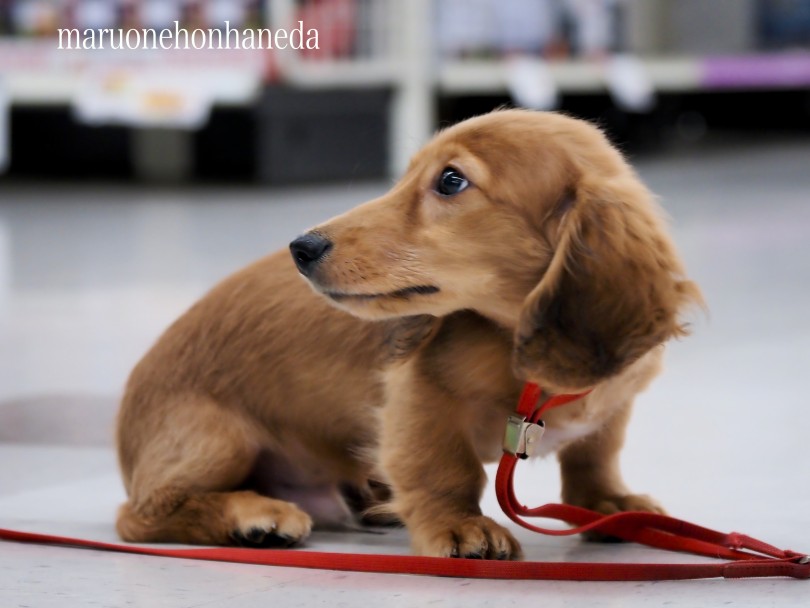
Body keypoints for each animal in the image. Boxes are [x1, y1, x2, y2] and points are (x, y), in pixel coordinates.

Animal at [115, 107, 700, 560]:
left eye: (451, 180)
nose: (302, 248)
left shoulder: (612, 404)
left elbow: (594, 455)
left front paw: (607, 505)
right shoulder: (421, 395)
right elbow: (446, 468)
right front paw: (460, 525)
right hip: (217, 438)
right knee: (140, 514)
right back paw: (254, 517)